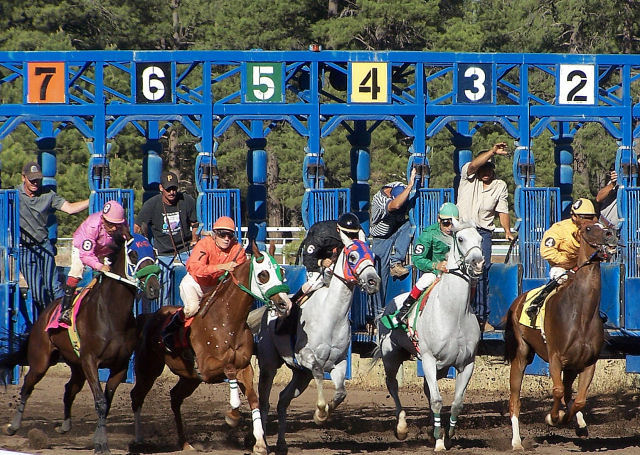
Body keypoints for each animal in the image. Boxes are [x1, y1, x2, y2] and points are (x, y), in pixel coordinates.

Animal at [3, 232, 160, 455]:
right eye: (133, 253)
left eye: (153, 252)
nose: (154, 287)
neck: (112, 315)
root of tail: (45, 313)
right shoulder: (90, 361)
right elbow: (101, 402)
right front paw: (101, 443)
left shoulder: (119, 366)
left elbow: (106, 402)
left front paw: (98, 439)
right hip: (42, 360)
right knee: (27, 385)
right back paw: (14, 426)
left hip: (76, 367)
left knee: (69, 389)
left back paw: (64, 426)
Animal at [130, 241, 291, 455]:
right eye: (263, 274)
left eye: (281, 272)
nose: (284, 303)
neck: (226, 322)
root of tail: (148, 317)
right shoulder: (206, 368)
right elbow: (229, 369)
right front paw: (233, 414)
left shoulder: (245, 366)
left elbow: (254, 399)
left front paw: (259, 444)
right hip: (148, 368)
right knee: (137, 396)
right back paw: (138, 441)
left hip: (189, 378)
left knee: (175, 397)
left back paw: (184, 443)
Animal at [255, 238, 380, 453]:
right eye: (353, 256)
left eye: (372, 256)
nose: (373, 281)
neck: (331, 315)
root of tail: (268, 308)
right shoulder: (308, 358)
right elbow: (320, 372)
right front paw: (320, 413)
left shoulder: (339, 363)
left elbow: (341, 393)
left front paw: (326, 411)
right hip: (269, 365)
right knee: (264, 402)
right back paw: (263, 444)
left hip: (301, 376)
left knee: (283, 400)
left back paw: (281, 444)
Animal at [375, 220, 484, 451]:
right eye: (461, 238)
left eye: (480, 238)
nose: (477, 262)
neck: (454, 313)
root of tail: (387, 307)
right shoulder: (427, 358)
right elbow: (436, 400)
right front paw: (438, 440)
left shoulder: (467, 363)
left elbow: (457, 402)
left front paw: (447, 435)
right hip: (391, 356)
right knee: (392, 384)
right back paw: (401, 427)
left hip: (440, 367)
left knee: (425, 388)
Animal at [505, 219, 617, 450]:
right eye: (588, 229)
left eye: (603, 223)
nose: (611, 235)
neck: (581, 313)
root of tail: (518, 301)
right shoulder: (555, 357)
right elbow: (557, 390)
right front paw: (552, 417)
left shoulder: (588, 363)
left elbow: (579, 400)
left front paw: (573, 421)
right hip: (521, 354)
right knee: (515, 399)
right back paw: (517, 441)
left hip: (571, 366)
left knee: (567, 393)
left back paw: (578, 423)